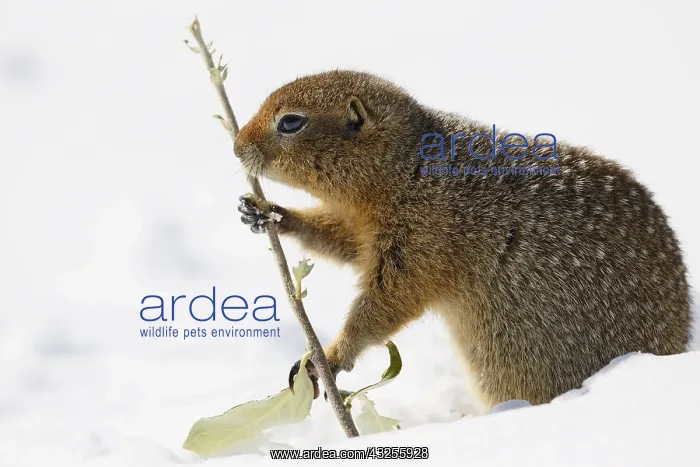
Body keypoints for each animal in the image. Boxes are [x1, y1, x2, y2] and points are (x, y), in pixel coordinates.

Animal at [233, 70, 692, 409]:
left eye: (291, 122)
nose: (236, 146)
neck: (410, 170)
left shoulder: (423, 237)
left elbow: (387, 300)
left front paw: (328, 358)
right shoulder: (370, 225)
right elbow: (347, 242)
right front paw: (270, 214)